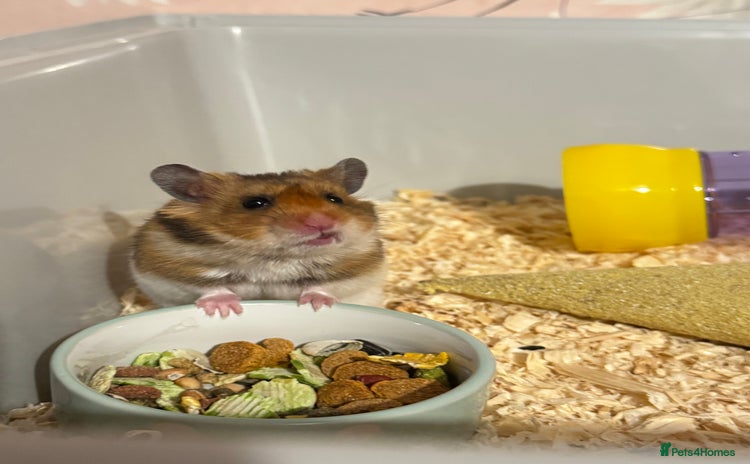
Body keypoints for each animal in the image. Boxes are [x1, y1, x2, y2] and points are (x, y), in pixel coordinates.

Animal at [130, 158, 386, 318]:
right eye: (255, 203)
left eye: (334, 198)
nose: (322, 222)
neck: (275, 256)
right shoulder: (176, 267)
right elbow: (210, 286)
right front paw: (225, 310)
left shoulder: (355, 267)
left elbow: (323, 285)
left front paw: (317, 305)